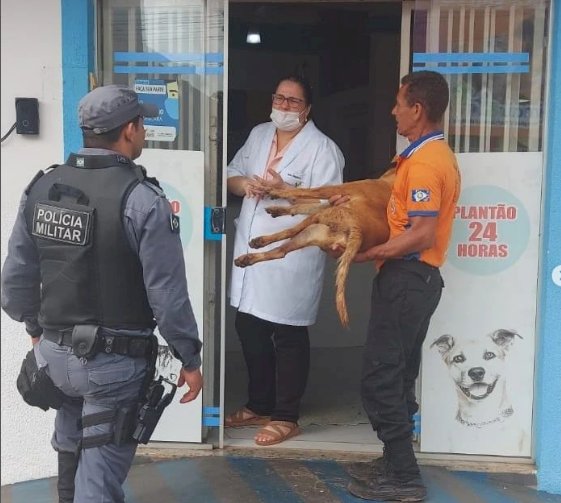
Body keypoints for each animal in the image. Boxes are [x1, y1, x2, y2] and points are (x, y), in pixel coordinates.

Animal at [232, 169, 394, 326]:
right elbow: (303, 205)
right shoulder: (329, 202)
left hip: (320, 217)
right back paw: (246, 259)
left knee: (289, 232)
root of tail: (359, 232)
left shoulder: (336, 190)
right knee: (280, 251)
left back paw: (259, 241)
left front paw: (274, 191)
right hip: (313, 230)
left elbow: (303, 191)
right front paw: (279, 209)